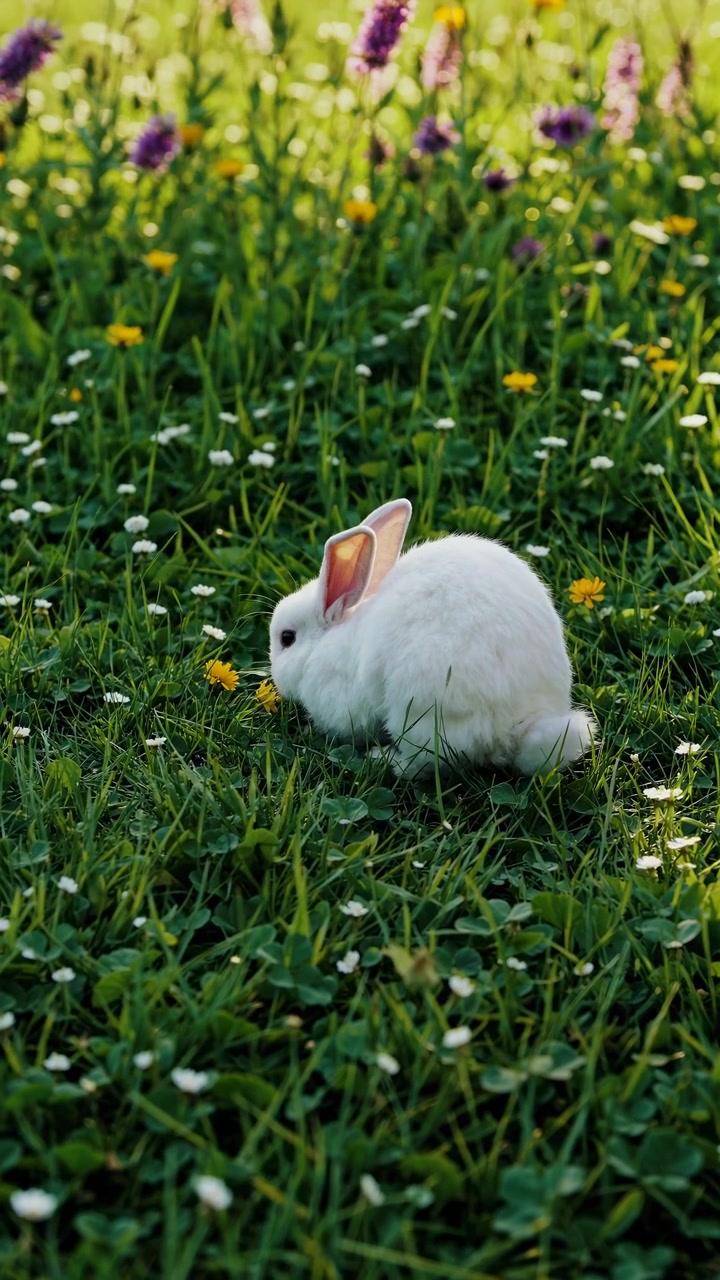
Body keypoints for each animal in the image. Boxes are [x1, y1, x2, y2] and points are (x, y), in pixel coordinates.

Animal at [269, 498, 595, 777]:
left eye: (287, 638)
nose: (275, 678)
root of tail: (518, 725)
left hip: (419, 714)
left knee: (425, 763)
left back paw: (383, 759)